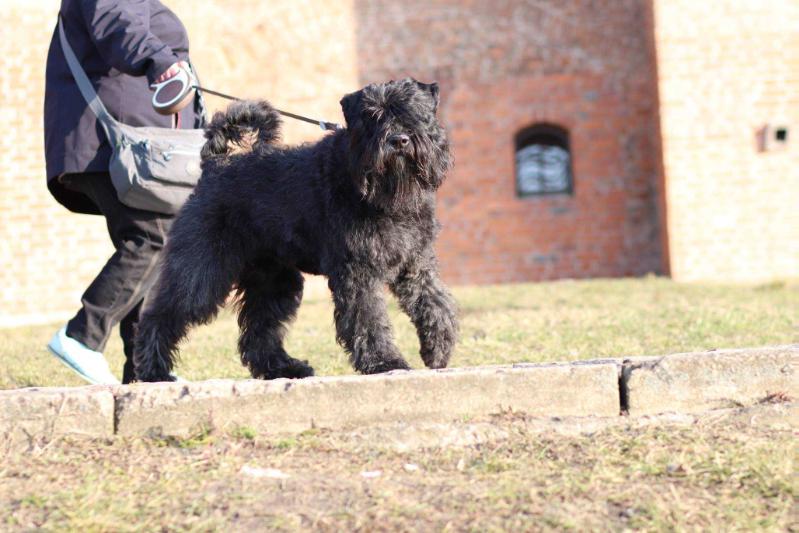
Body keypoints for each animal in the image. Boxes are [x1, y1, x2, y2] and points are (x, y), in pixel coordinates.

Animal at [134, 77, 460, 380]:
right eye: (373, 117)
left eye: (415, 111)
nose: (399, 140)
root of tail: (214, 164)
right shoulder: (357, 270)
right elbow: (368, 317)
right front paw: (384, 362)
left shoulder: (415, 262)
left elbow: (434, 301)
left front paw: (438, 348)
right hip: (203, 268)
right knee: (162, 314)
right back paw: (154, 372)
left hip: (273, 279)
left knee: (259, 330)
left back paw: (285, 368)